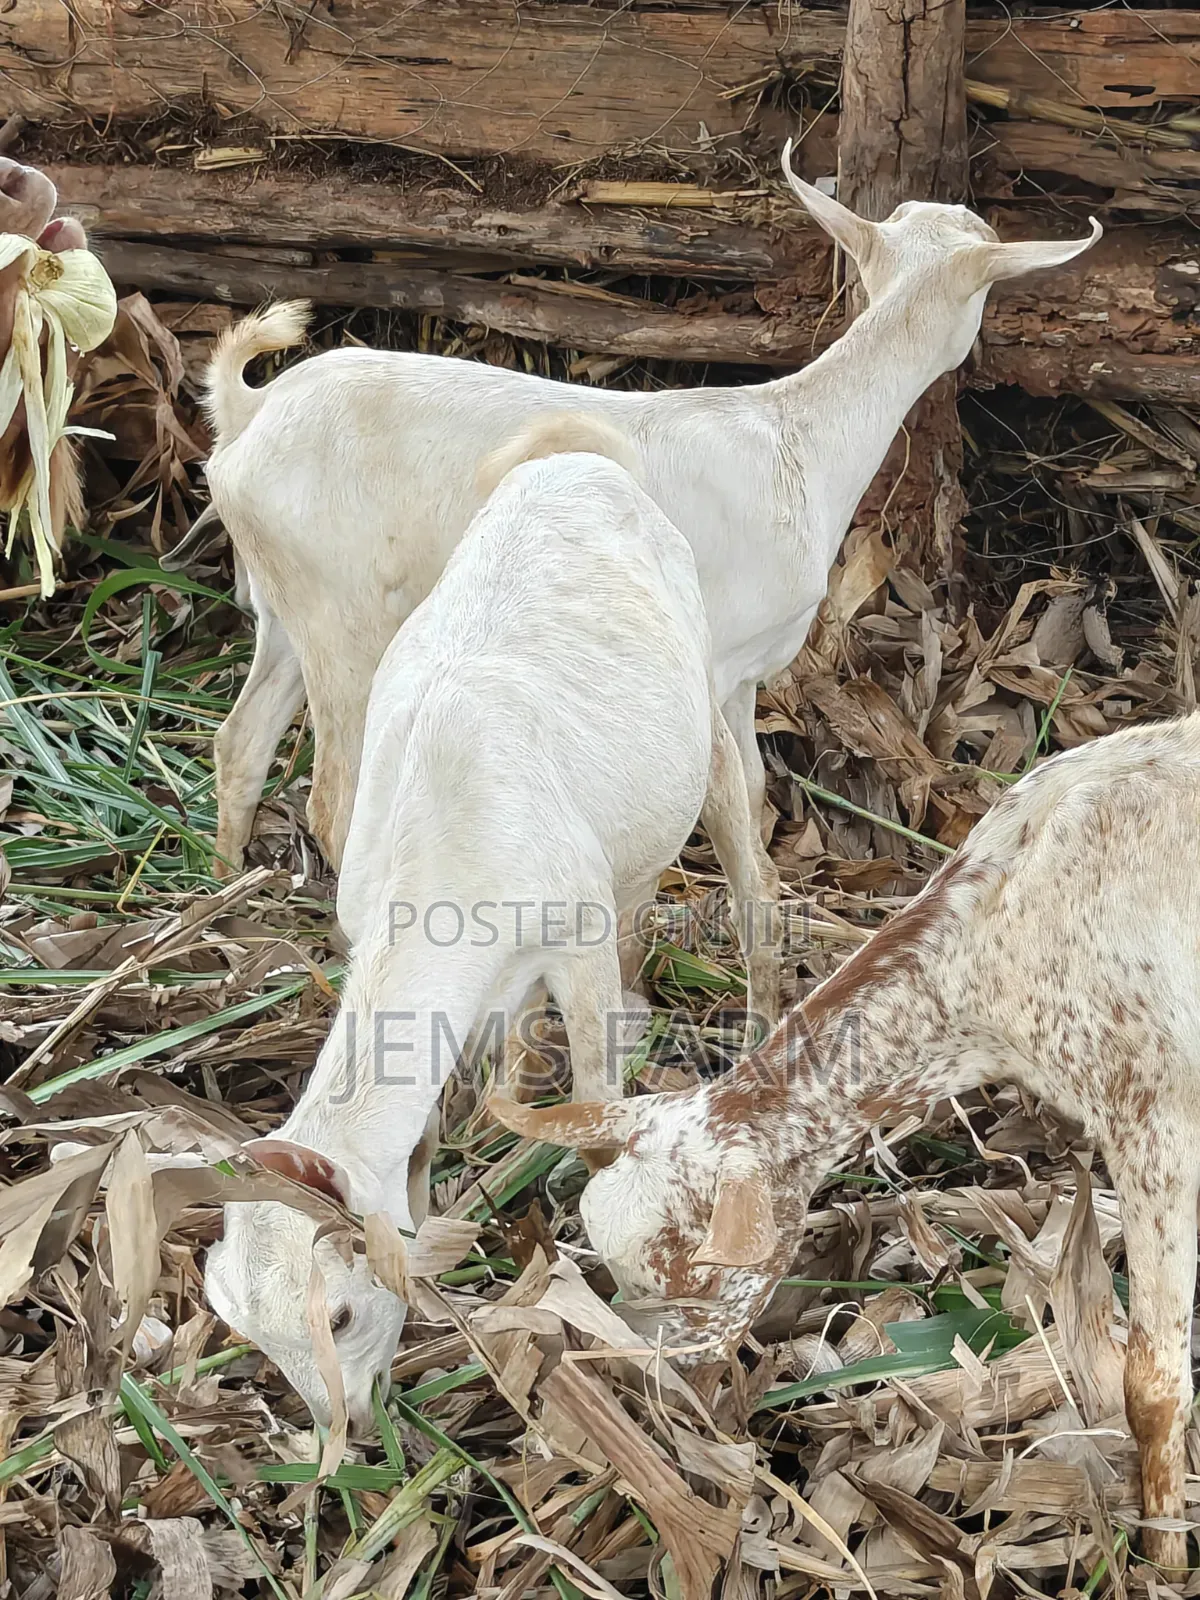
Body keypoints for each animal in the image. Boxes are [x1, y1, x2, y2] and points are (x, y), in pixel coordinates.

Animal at [200, 146, 1100, 876]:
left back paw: (229, 883)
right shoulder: (718, 659)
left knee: (239, 744)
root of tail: (248, 416)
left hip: (286, 602)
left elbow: (757, 799)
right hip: (343, 613)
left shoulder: (747, 676)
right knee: (333, 799)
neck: (798, 436)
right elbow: (728, 809)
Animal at [205, 414, 780, 1429]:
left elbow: (599, 1089)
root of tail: (576, 452)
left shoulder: (575, 937)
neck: (444, 824)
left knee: (743, 847)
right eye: (259, 1342)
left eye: (340, 1313)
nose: (352, 1432)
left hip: (708, 702)